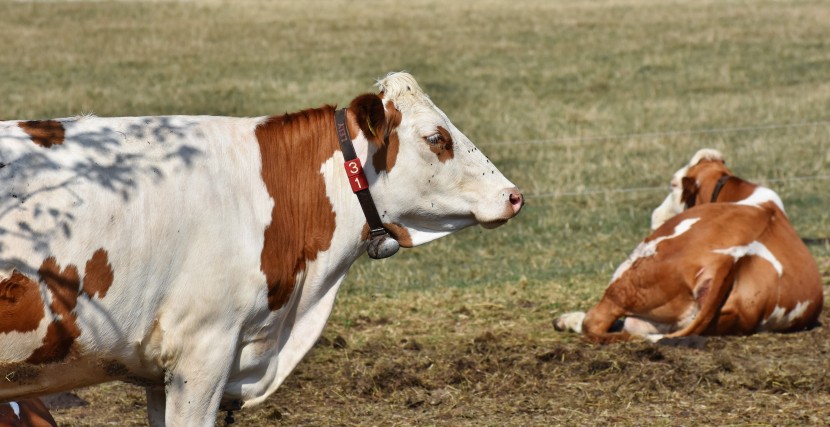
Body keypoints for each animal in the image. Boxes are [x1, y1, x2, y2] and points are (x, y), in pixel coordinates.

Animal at [556, 150, 824, 344]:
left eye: (673, 185)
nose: (655, 214)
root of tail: (728, 261)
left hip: (632, 269)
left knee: (596, 321)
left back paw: (567, 320)